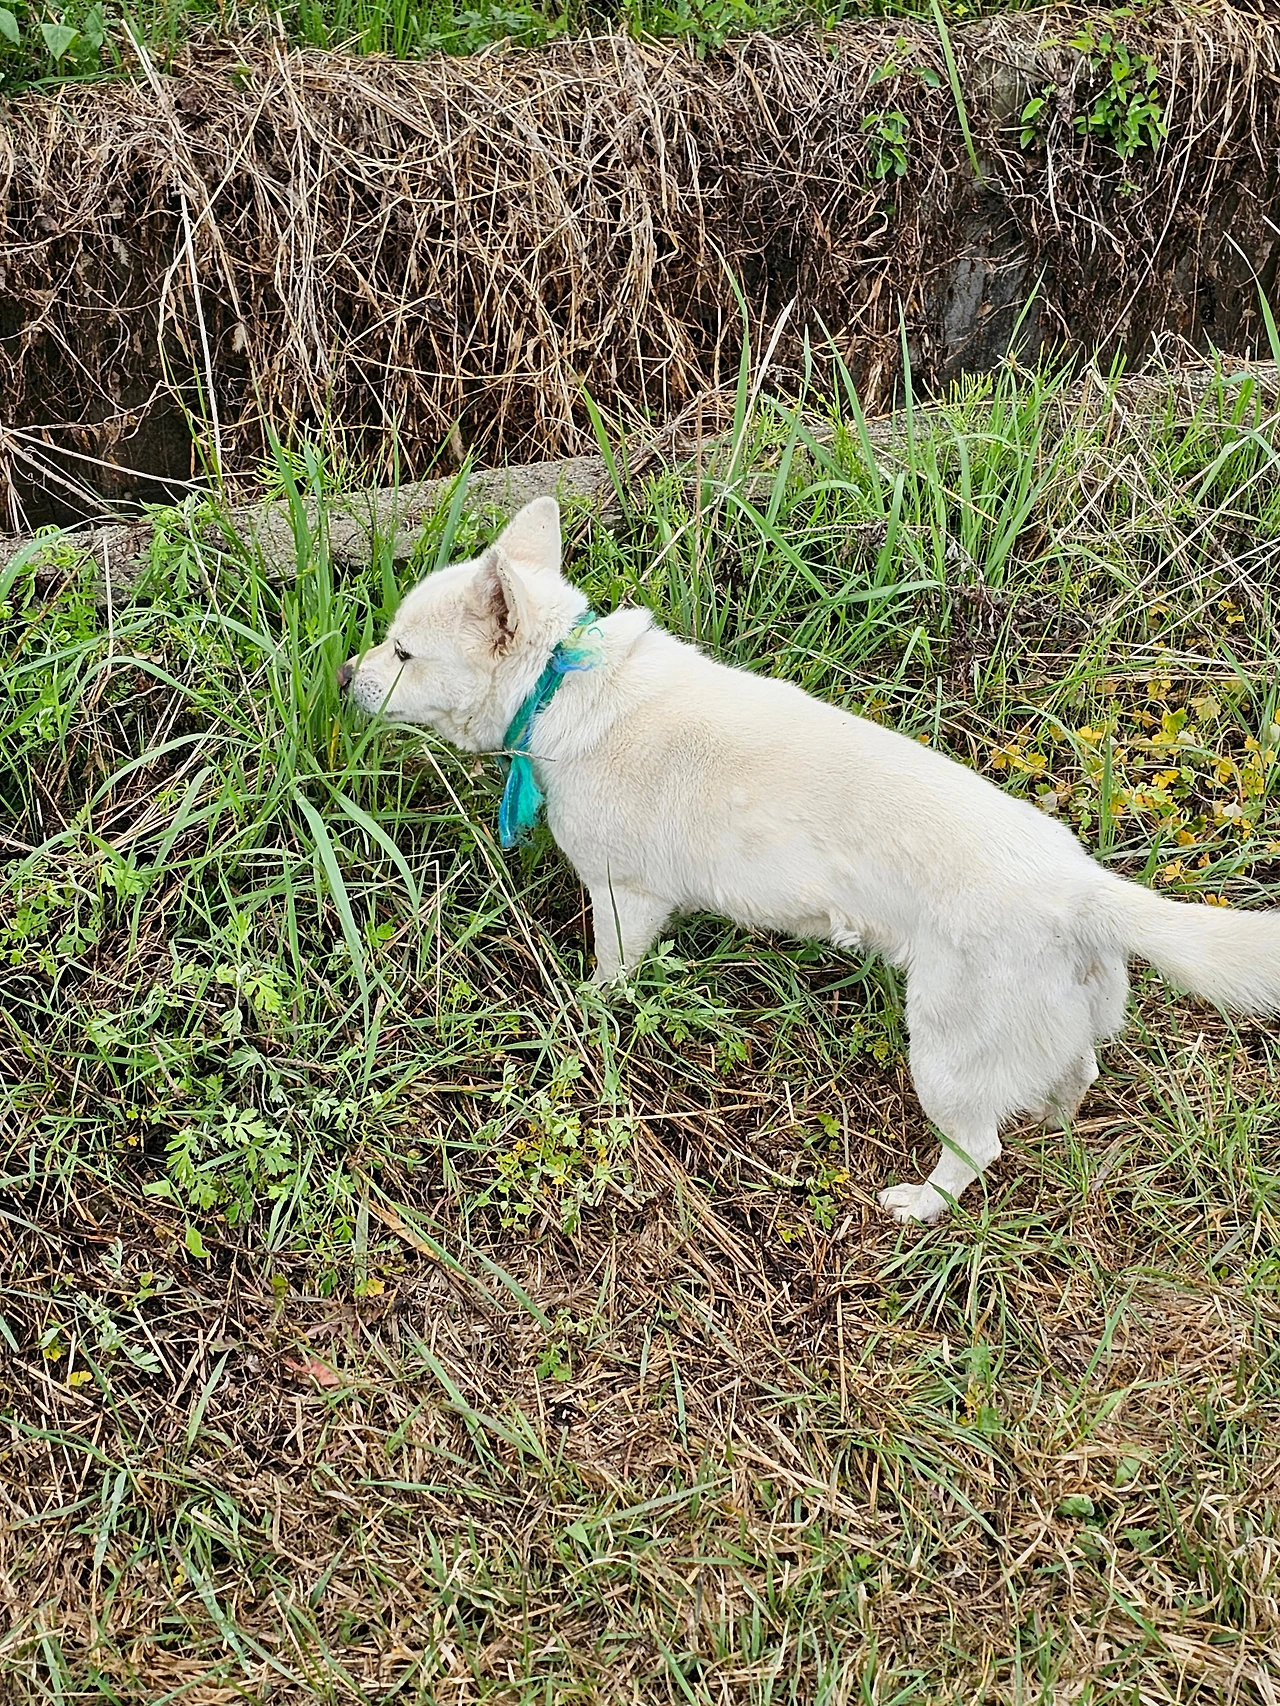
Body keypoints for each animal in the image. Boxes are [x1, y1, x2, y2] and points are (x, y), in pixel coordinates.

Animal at [340, 497, 1280, 1222]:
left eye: (403, 653)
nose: (346, 673)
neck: (561, 684)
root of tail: (1084, 888)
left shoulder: (625, 899)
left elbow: (608, 978)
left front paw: (585, 1013)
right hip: (1051, 1032)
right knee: (1071, 1075)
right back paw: (1055, 1123)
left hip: (945, 1057)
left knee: (976, 1148)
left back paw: (920, 1206)